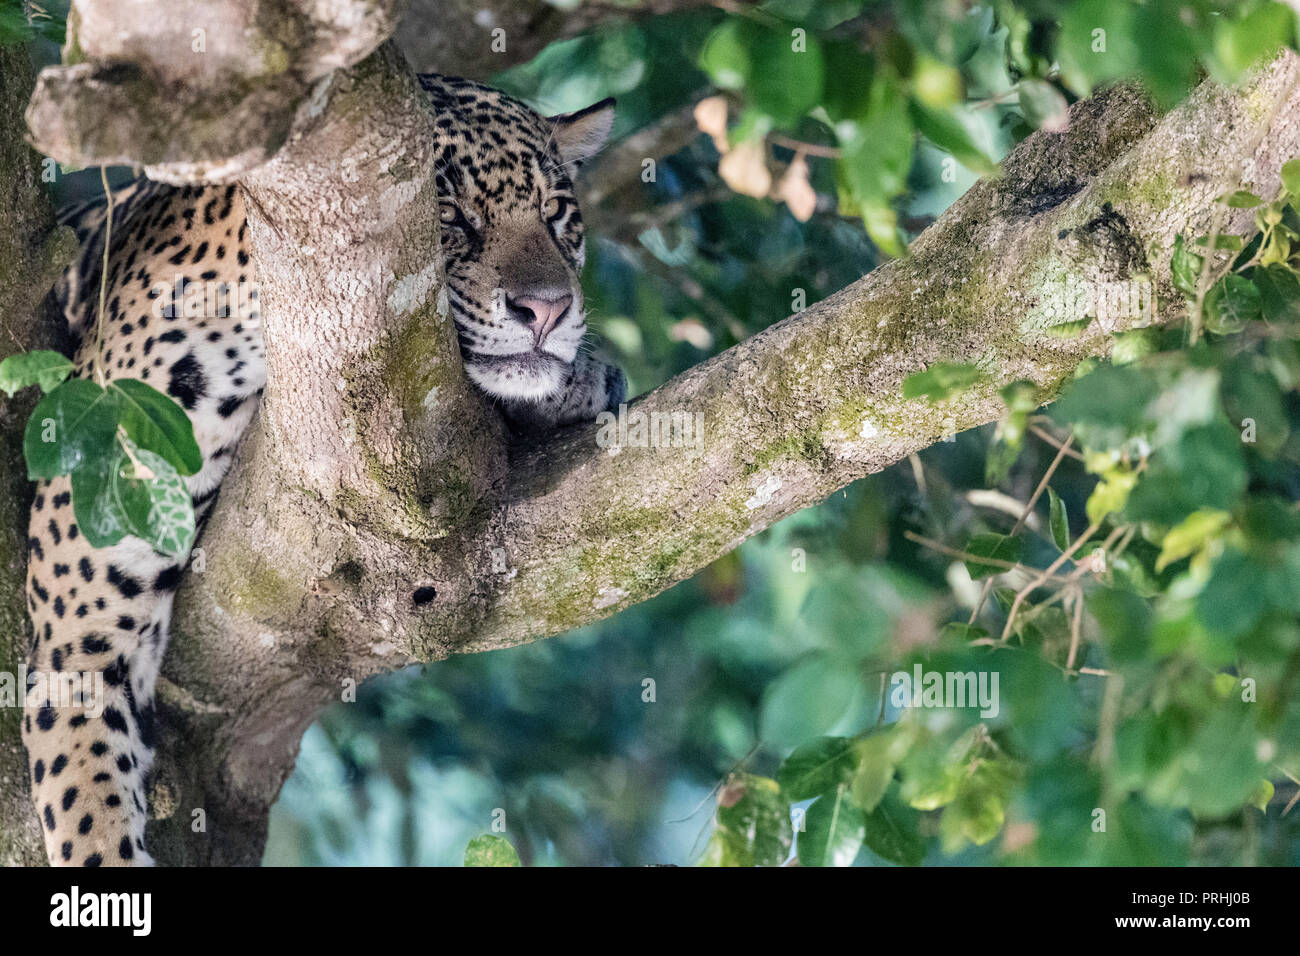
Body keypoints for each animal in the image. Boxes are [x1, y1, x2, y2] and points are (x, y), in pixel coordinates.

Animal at [20, 73, 626, 867]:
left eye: (556, 212)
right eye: (446, 217)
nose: (548, 311)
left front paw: (579, 380)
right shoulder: (82, 629)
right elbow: (87, 805)